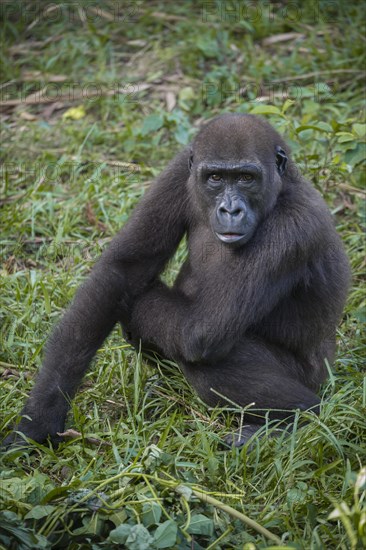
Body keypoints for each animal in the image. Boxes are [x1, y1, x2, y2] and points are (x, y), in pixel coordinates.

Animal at [3, 115, 352, 448]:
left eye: (245, 178)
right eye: (215, 178)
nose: (231, 210)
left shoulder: (292, 227)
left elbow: (199, 330)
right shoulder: (180, 169)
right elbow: (122, 272)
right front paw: (40, 418)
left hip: (314, 379)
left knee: (205, 359)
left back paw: (300, 417)